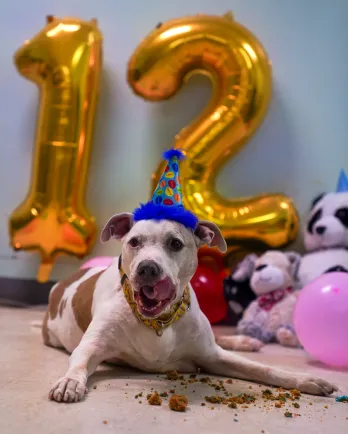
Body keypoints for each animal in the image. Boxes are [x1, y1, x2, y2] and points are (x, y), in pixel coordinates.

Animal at [42, 214, 338, 404]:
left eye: (175, 243)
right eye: (134, 242)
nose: (147, 268)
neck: (160, 322)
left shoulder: (211, 356)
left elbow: (262, 369)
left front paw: (304, 379)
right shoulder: (91, 347)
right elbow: (80, 362)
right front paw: (69, 381)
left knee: (222, 340)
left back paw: (246, 340)